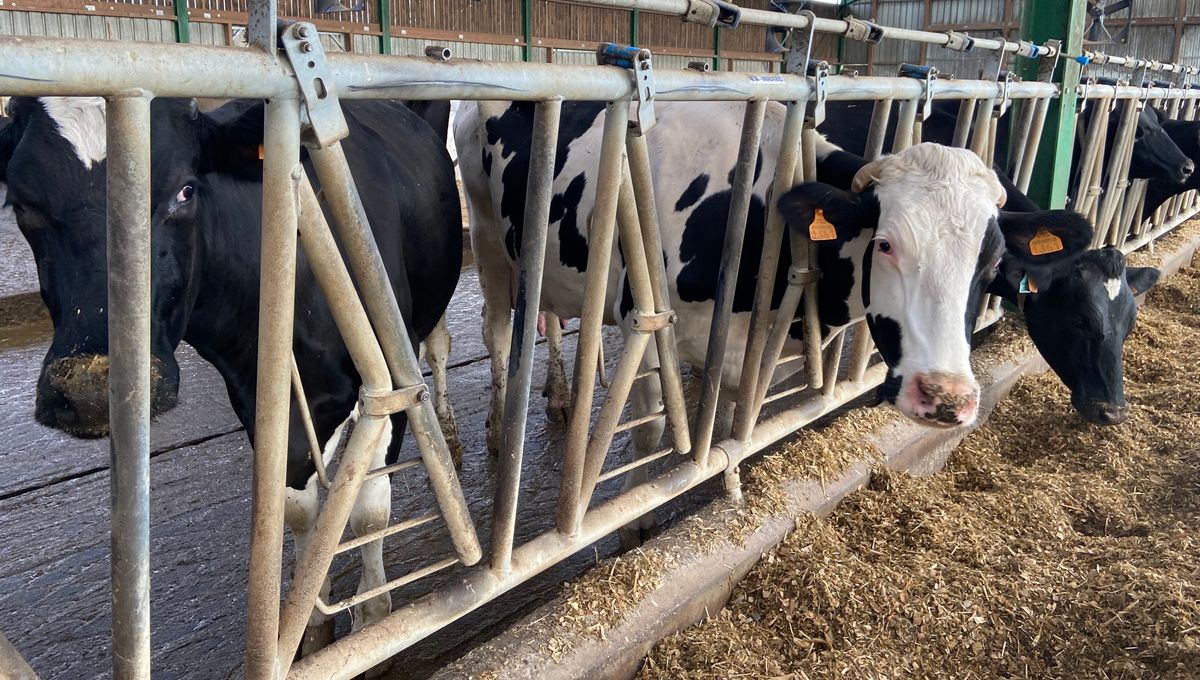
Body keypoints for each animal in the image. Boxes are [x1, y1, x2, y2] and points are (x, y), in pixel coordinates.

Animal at [0, 95, 463, 652]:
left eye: (185, 189)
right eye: (22, 204)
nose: (90, 391)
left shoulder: (390, 379)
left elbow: (370, 507)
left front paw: (374, 617)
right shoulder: (258, 394)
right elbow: (299, 508)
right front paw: (309, 614)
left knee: (438, 349)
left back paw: (448, 432)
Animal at [453, 99, 1094, 467]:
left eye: (990, 262)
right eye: (886, 243)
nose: (947, 398)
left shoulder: (758, 356)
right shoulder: (648, 330)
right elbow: (653, 436)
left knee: (549, 313)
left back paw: (559, 396)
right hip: (486, 234)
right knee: (497, 328)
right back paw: (498, 434)